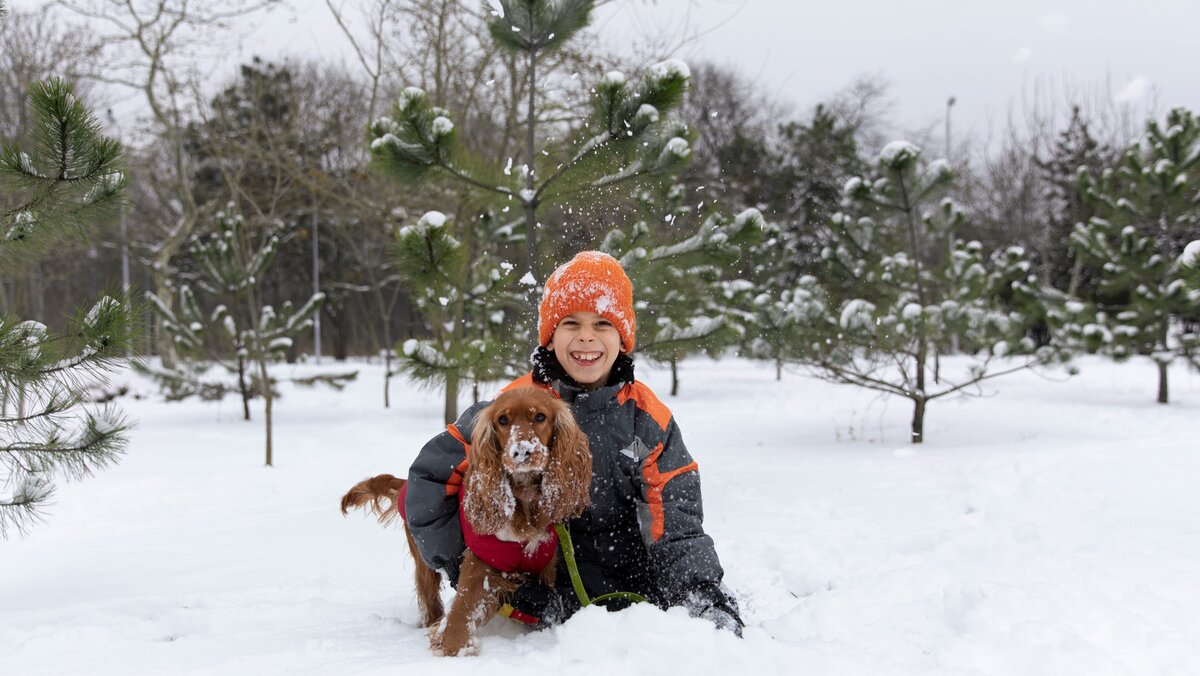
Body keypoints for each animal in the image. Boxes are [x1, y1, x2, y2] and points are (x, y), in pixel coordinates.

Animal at [343, 386, 590, 657]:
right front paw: (454, 649)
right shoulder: (478, 562)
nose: (521, 452)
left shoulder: (544, 566)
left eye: (540, 417)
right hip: (424, 561)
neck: (524, 499)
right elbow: (460, 614)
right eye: (503, 420)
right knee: (429, 601)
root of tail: (407, 483)